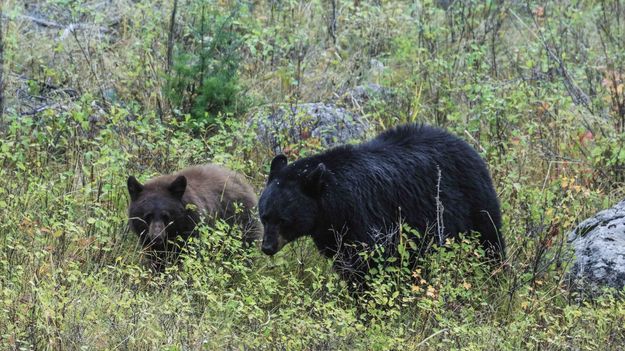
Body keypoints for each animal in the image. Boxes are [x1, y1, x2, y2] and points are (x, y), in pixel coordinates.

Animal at [127, 164, 260, 268]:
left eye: (166, 216)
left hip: (241, 225)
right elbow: (157, 259)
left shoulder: (193, 228)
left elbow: (191, 255)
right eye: (148, 215)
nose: (157, 237)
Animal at [256, 124, 504, 284]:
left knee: (490, 243)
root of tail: (469, 147)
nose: (267, 247)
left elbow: (370, 263)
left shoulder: (364, 215)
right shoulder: (331, 232)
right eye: (264, 216)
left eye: (283, 220)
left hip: (475, 205)